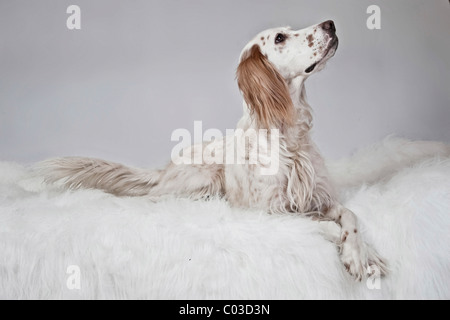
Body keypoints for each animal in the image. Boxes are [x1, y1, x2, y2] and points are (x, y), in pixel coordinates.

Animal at [40, 20, 388, 280]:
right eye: (279, 38)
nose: (330, 23)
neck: (287, 137)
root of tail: (166, 169)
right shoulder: (267, 212)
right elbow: (324, 225)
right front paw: (349, 249)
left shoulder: (319, 198)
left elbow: (350, 216)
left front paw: (364, 255)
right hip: (200, 180)